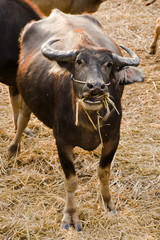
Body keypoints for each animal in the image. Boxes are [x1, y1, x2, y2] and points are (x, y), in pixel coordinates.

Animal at [8, 8, 144, 231]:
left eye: (109, 64)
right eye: (79, 62)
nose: (95, 87)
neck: (88, 121)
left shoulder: (113, 138)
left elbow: (104, 172)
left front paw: (107, 203)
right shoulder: (62, 142)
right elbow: (71, 181)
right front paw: (70, 216)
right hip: (25, 94)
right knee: (22, 119)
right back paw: (12, 149)